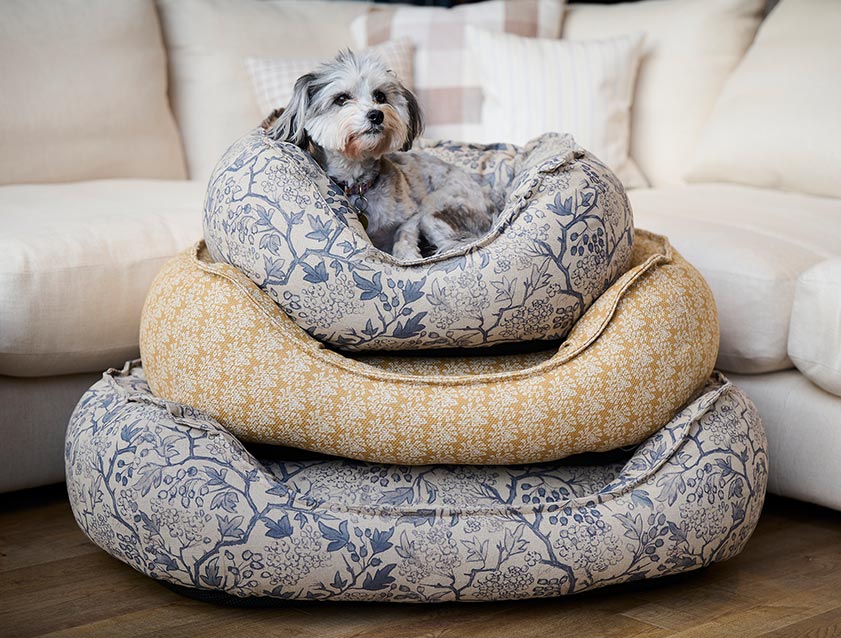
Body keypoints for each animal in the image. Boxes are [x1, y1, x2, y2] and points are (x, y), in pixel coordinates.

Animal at [262, 48, 496, 262]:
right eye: (341, 98)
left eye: (380, 96)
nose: (376, 114)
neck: (359, 183)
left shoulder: (413, 216)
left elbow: (404, 236)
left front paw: (407, 256)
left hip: (435, 209)